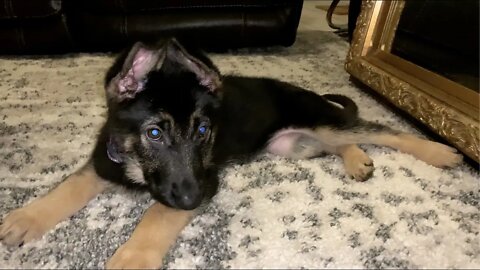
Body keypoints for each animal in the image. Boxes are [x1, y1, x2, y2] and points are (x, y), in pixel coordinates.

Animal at [1, 38, 464, 268]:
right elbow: (67, 188)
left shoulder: (204, 181)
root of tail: (307, 93)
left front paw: (131, 259)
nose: (194, 200)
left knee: (380, 131)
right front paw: (24, 219)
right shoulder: (102, 164)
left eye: (204, 130)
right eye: (154, 133)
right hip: (294, 144)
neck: (135, 164)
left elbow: (156, 216)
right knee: (341, 142)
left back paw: (438, 151)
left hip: (315, 122)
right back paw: (357, 161)